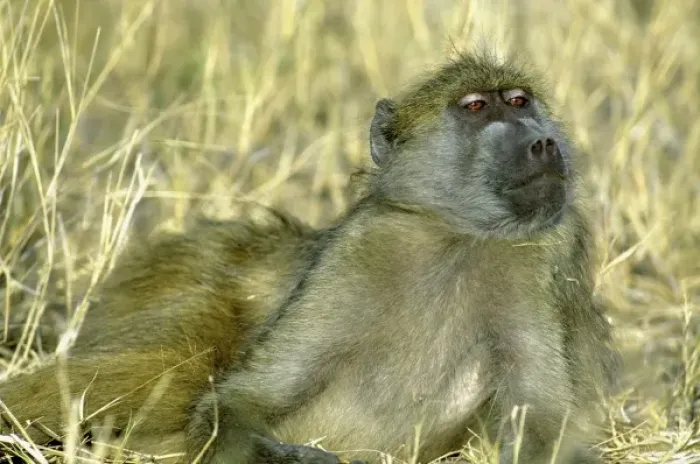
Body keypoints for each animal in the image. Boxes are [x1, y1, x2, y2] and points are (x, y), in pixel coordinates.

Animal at [0, 50, 620, 464]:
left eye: (519, 101)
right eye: (475, 107)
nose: (542, 142)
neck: (459, 238)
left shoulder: (539, 262)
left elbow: (543, 422)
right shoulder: (360, 251)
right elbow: (244, 400)